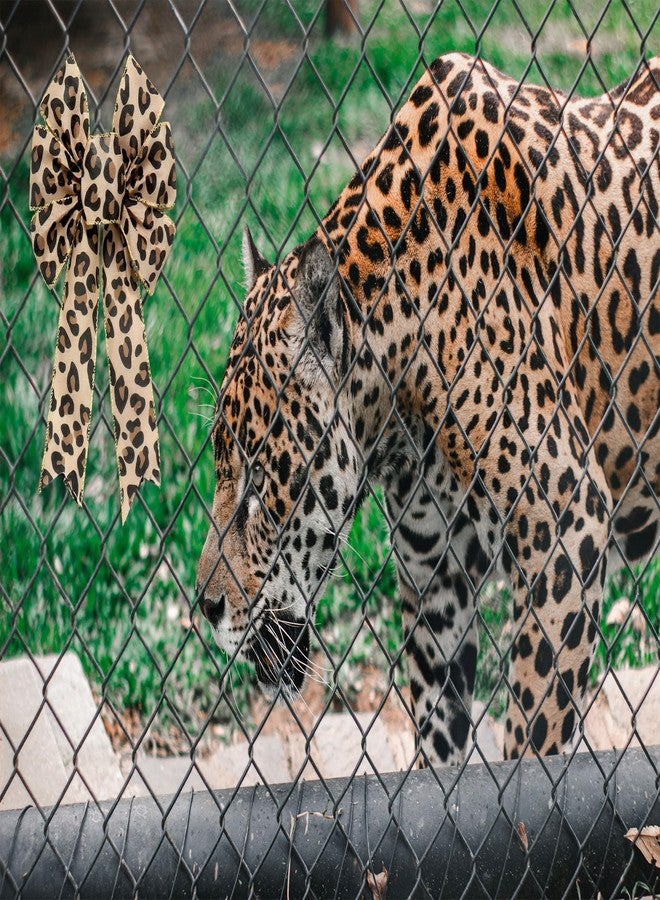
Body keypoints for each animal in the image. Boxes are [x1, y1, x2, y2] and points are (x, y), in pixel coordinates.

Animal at [197, 52, 659, 766]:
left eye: (259, 480)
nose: (205, 608)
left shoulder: (566, 527)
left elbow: (534, 740)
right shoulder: (434, 574)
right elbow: (438, 747)